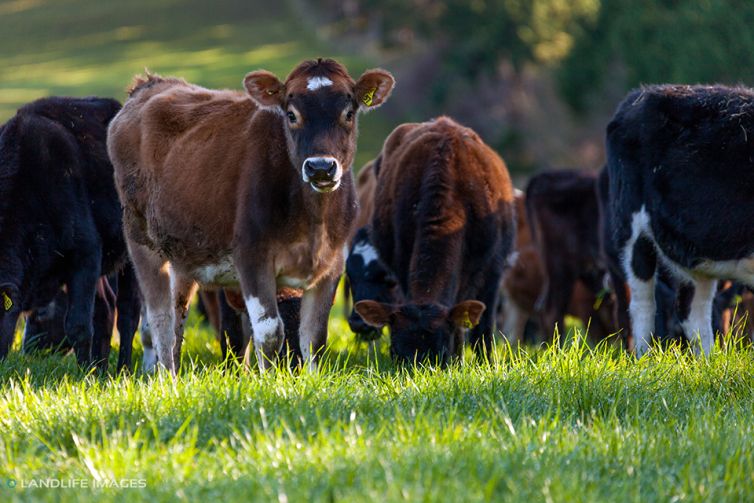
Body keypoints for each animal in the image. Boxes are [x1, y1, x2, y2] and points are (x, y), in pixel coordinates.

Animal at [0, 96, 140, 368]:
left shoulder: (85, 253)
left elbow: (78, 325)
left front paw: (84, 374)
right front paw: (91, 371)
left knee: (128, 311)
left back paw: (124, 369)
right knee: (106, 307)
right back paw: (101, 370)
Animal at [110, 60, 400, 374]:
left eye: (348, 113)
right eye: (291, 114)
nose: (321, 167)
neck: (313, 220)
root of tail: (151, 84)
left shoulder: (332, 266)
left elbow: (314, 338)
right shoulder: (251, 257)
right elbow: (270, 331)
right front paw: (269, 380)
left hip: (181, 252)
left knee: (177, 314)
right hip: (142, 240)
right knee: (160, 319)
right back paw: (167, 378)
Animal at [608, 84, 754, 356]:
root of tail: (640, 94)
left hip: (698, 254)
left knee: (692, 312)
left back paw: (707, 362)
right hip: (632, 229)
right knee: (643, 304)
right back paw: (644, 358)